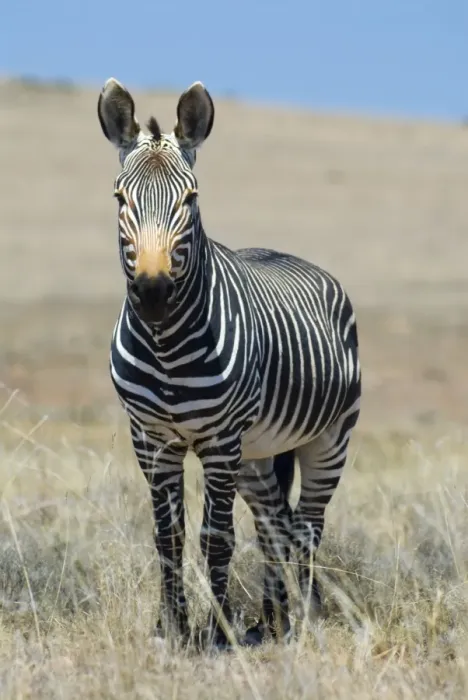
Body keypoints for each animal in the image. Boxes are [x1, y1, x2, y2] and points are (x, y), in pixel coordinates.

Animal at [97, 77, 361, 650]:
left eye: (191, 198)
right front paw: (171, 627)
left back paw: (306, 618)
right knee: (274, 524)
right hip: (257, 454)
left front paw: (216, 634)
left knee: (307, 527)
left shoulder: (220, 441)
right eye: (120, 198)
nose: (153, 294)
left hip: (327, 439)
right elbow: (168, 537)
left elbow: (215, 538)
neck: (166, 346)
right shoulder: (150, 439)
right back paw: (273, 620)